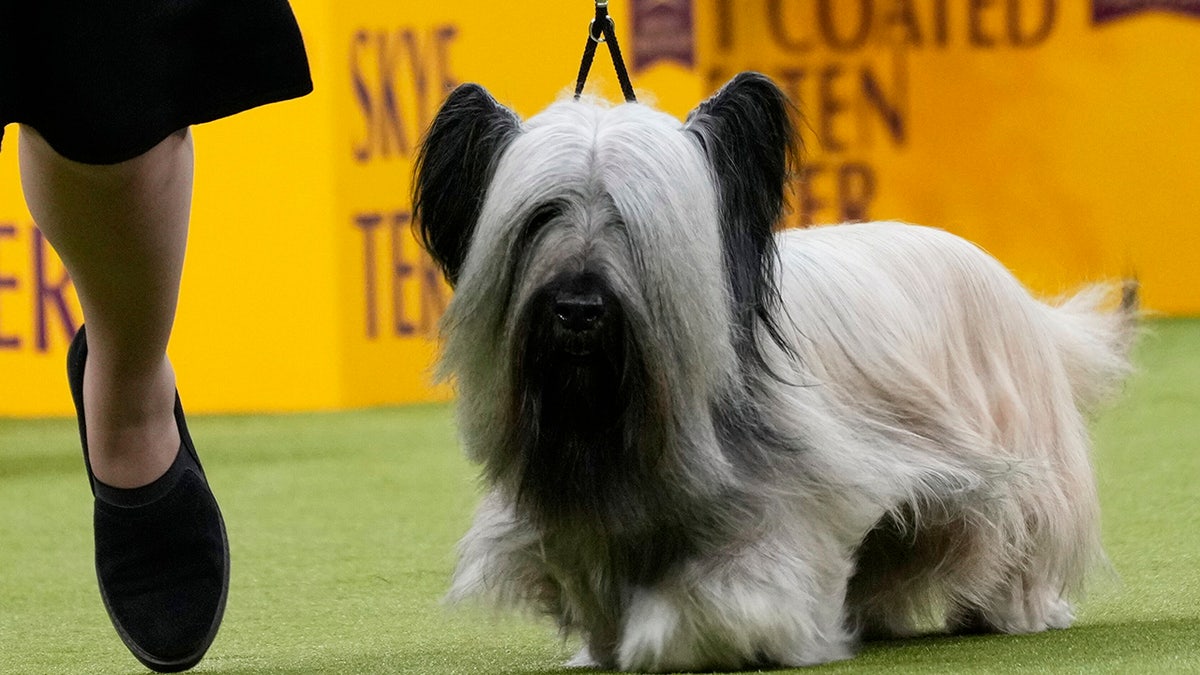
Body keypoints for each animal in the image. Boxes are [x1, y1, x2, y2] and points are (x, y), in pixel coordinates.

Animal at [410, 70, 1132, 667]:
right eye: (542, 216)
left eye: (631, 221)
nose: (577, 309)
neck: (617, 420)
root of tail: (1019, 297)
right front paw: (608, 644)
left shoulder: (783, 514)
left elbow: (724, 596)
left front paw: (667, 637)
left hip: (1012, 459)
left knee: (1017, 535)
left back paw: (1010, 609)